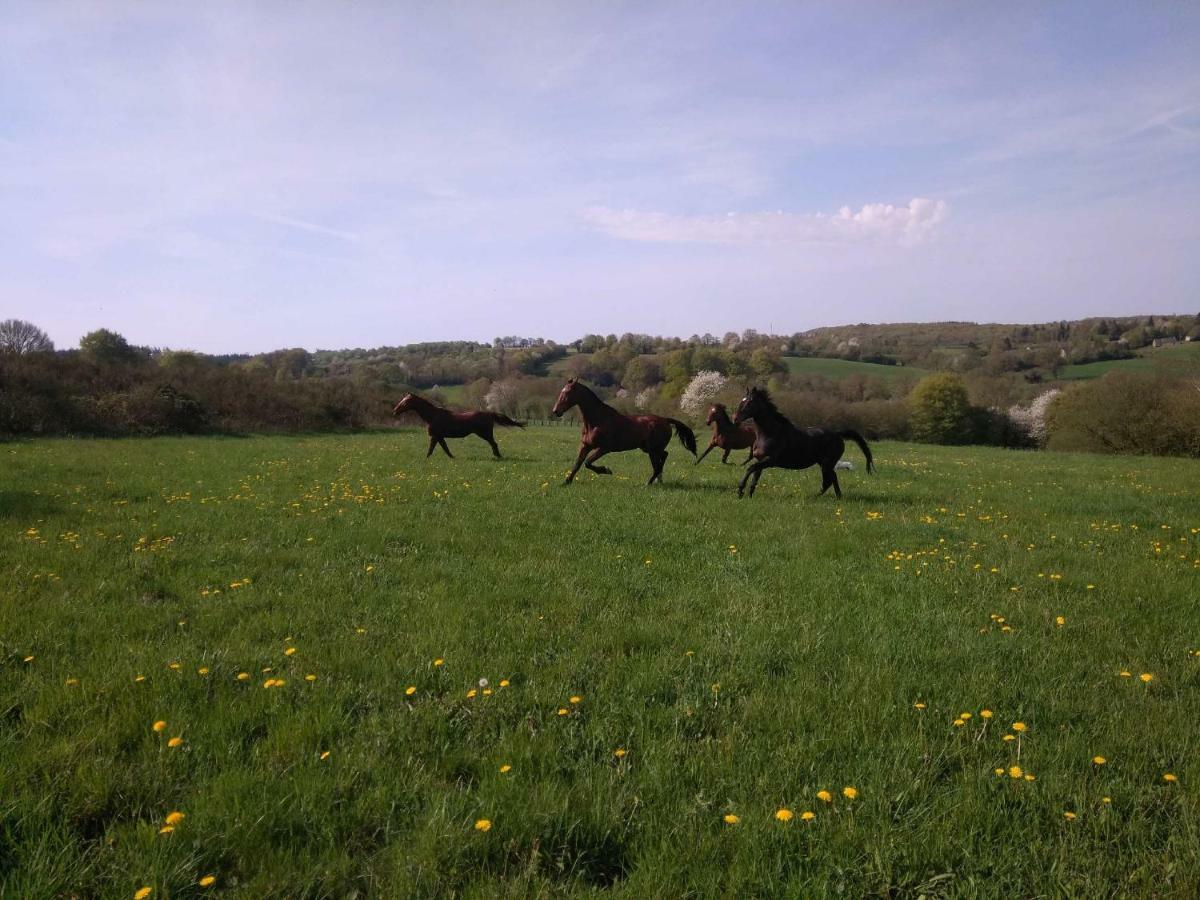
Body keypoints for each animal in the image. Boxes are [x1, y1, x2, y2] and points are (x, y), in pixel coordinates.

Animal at [549, 379, 696, 487]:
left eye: (568, 393)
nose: (556, 411)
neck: (597, 421)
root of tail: (665, 420)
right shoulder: (585, 446)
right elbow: (577, 463)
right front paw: (566, 482)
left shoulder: (604, 448)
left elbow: (587, 463)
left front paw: (606, 470)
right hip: (649, 449)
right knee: (663, 456)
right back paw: (657, 480)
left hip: (653, 450)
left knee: (660, 461)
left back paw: (648, 483)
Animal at [729, 388, 873, 501]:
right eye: (742, 401)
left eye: (749, 402)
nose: (735, 419)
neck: (770, 433)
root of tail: (838, 434)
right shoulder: (761, 459)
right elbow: (755, 477)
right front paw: (749, 495)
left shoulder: (770, 460)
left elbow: (750, 468)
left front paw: (740, 491)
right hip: (824, 463)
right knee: (832, 478)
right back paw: (836, 497)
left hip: (827, 463)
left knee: (828, 480)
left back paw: (815, 496)